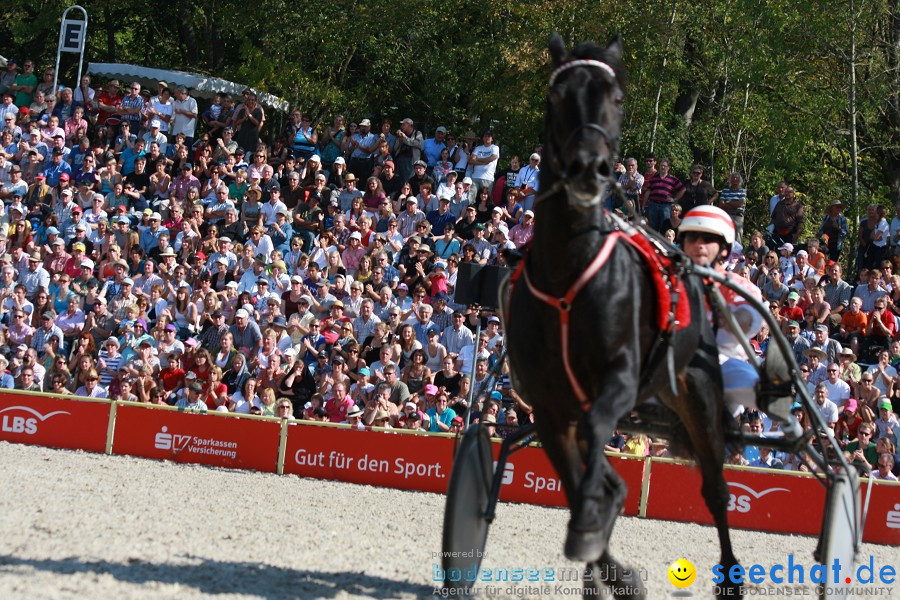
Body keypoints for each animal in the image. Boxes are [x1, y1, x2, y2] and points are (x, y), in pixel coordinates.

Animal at [502, 35, 740, 596]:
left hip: (697, 392)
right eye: (558, 94)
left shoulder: (618, 379)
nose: (589, 168)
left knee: (716, 489)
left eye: (617, 97)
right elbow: (579, 482)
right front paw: (611, 563)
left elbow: (596, 456)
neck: (568, 273)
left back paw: (731, 575)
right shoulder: (548, 407)